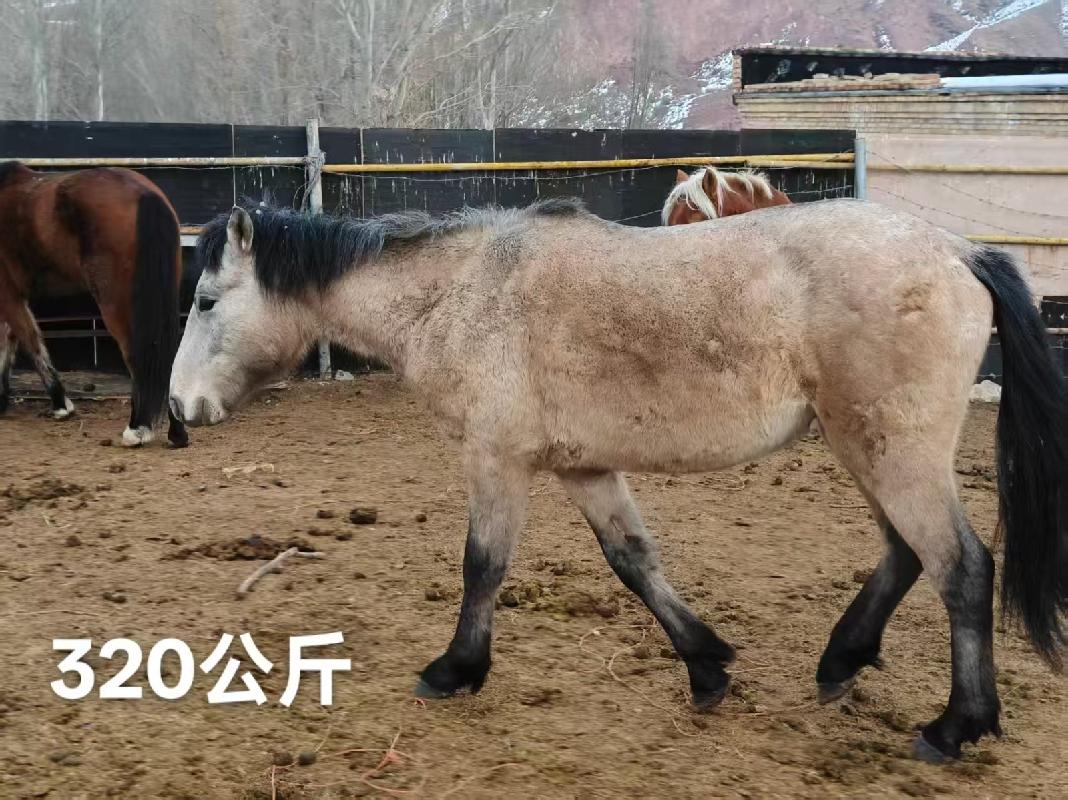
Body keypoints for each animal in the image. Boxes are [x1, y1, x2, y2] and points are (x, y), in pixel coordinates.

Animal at [0, 161, 187, 447]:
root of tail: (145, 194)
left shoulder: (8, 294)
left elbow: (30, 343)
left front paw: (60, 405)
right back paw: (176, 433)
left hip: (116, 304)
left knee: (136, 355)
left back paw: (138, 428)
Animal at [170, 198, 1068, 763]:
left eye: (208, 299)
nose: (178, 406)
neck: (464, 292)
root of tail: (957, 251)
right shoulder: (584, 467)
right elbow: (634, 562)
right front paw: (707, 667)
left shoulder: (496, 461)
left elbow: (482, 568)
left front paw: (454, 670)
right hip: (867, 452)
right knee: (906, 555)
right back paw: (841, 661)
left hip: (890, 453)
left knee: (960, 568)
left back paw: (956, 728)